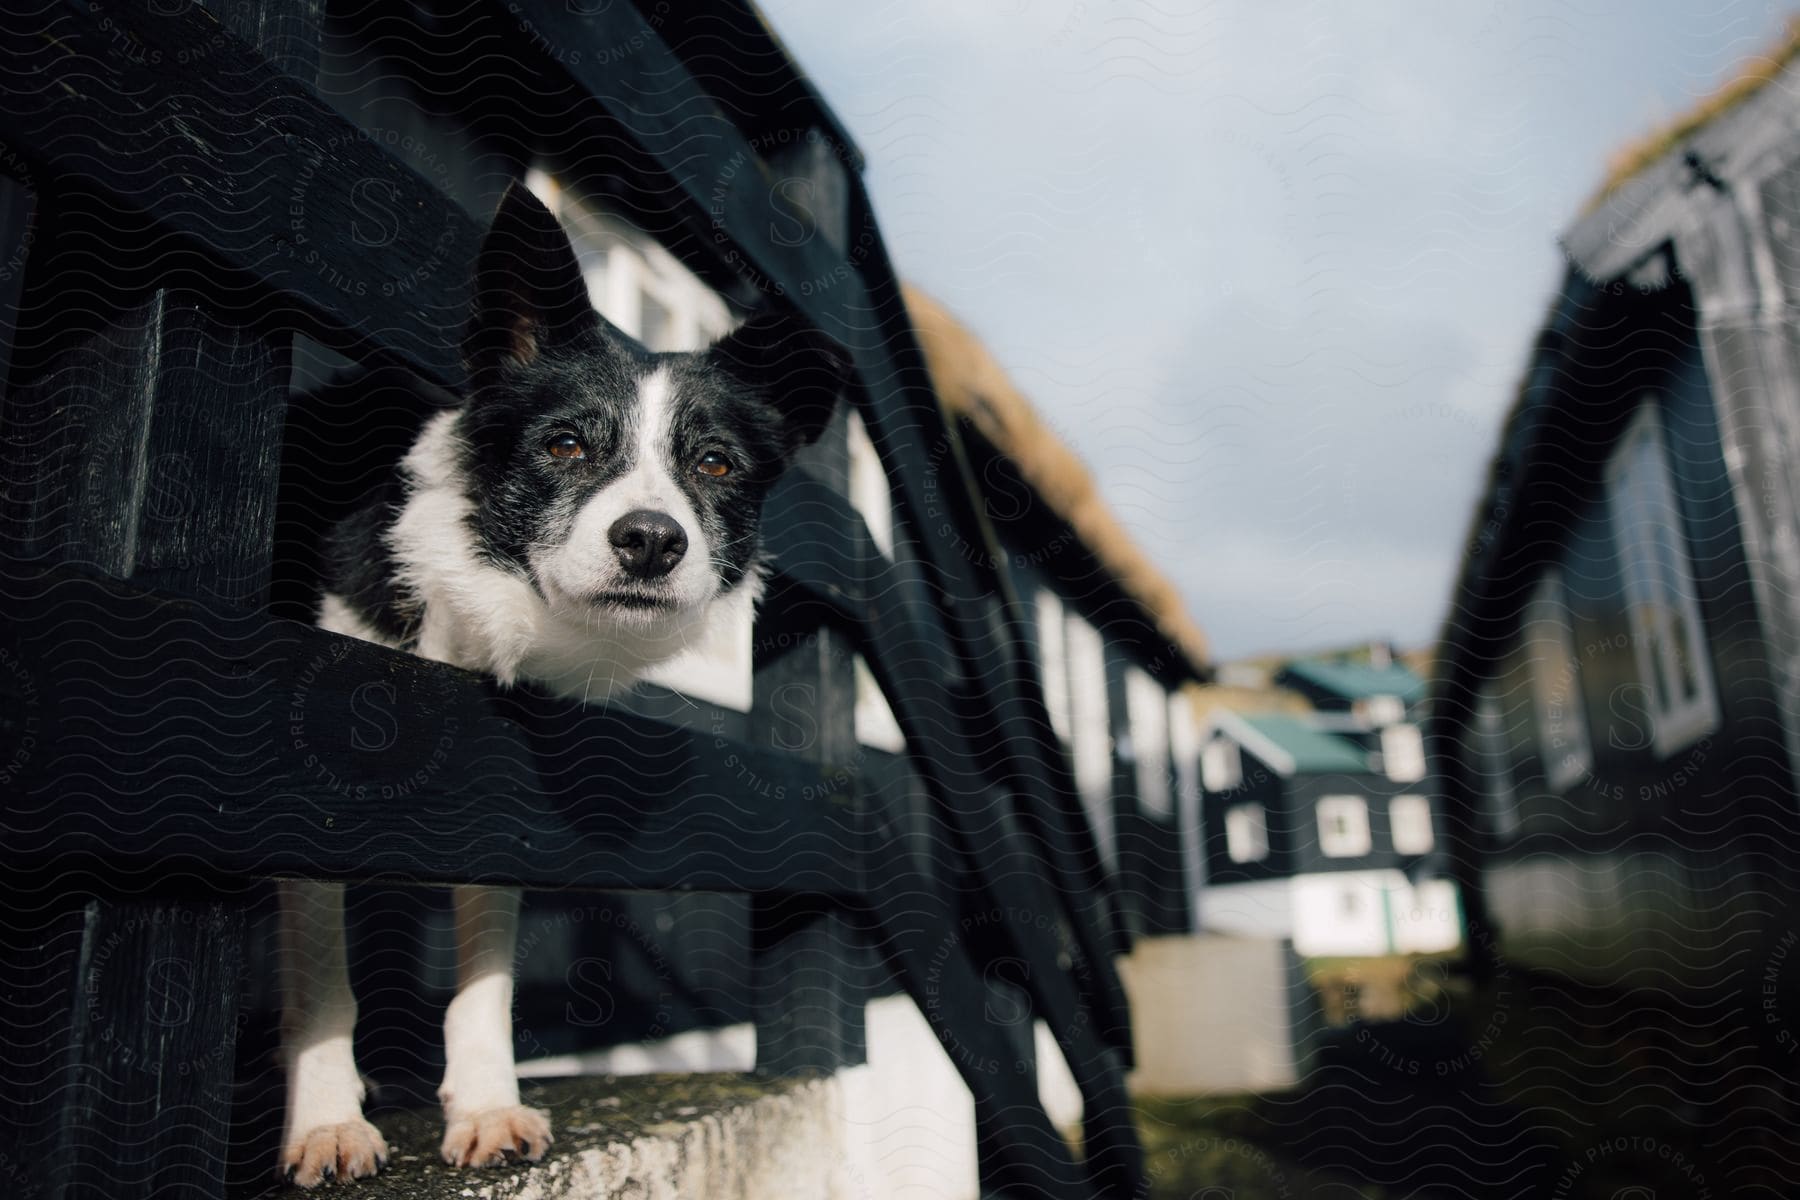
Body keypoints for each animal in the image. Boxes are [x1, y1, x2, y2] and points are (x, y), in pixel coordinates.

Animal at [279, 183, 842, 1187]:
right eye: (568, 446)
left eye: (715, 464)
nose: (651, 541)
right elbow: (322, 978)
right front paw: (327, 1122)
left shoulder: (501, 798)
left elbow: (485, 973)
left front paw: (486, 1106)